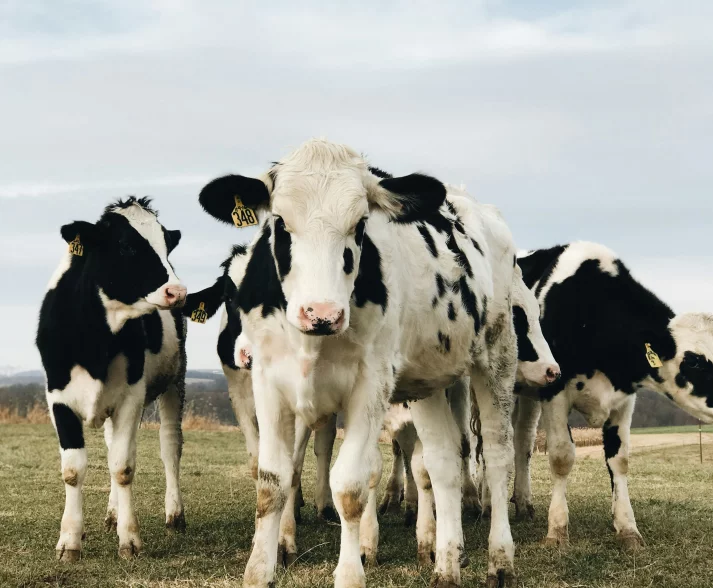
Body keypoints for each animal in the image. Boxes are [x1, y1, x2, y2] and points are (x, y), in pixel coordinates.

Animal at [35, 197, 188, 562]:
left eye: (167, 246)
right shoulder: (57, 397)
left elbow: (123, 467)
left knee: (170, 445)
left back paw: (174, 513)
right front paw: (70, 540)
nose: (177, 291)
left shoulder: (131, 397)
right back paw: (112, 513)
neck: (95, 340)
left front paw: (129, 540)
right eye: (126, 246)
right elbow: (73, 469)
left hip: (175, 381)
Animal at [197, 139, 521, 588]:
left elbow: (350, 486)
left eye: (360, 225)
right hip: (429, 380)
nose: (322, 313)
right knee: (442, 462)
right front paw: (260, 570)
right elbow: (272, 481)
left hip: (497, 354)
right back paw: (447, 565)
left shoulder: (371, 385)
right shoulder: (267, 381)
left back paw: (500, 560)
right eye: (280, 222)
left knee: (497, 453)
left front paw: (351, 572)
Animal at [511, 241, 713, 551]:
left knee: (522, 442)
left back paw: (523, 503)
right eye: (694, 362)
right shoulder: (554, 392)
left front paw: (627, 527)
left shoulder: (624, 399)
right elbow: (561, 456)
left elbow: (619, 460)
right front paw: (557, 530)